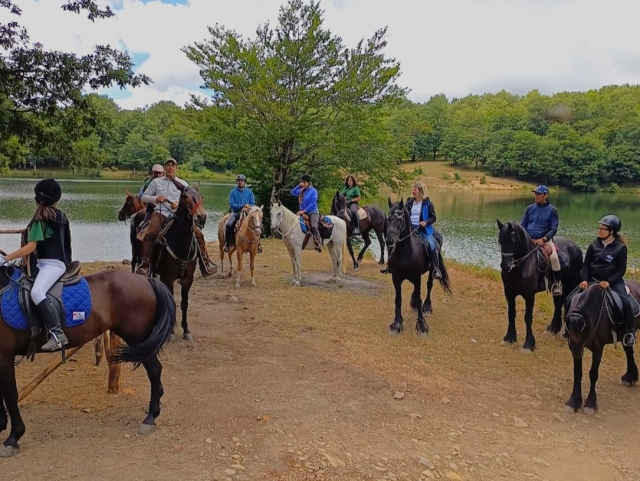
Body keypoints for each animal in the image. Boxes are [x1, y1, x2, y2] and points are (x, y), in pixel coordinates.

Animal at [0, 264, 176, 457]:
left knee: (154, 370)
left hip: (137, 337)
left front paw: (13, 438)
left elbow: (10, 395)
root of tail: (146, 279)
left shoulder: (4, 355)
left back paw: (150, 418)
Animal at [385, 199, 452, 335]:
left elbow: (419, 297)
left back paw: (427, 307)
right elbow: (398, 300)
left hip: (431, 271)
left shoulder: (416, 278)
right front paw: (396, 324)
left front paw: (422, 325)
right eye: (388, 218)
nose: (389, 240)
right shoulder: (396, 279)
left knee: (429, 286)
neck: (405, 252)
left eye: (399, 219)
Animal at [496, 220, 583, 352]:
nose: (505, 266)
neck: (522, 266)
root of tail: (575, 246)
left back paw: (566, 334)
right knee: (558, 304)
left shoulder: (529, 295)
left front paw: (528, 344)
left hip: (571, 285)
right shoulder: (509, 293)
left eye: (512, 241)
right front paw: (509, 338)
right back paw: (553, 329)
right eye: (500, 241)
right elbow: (511, 314)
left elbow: (528, 317)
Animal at [564, 281, 640, 413]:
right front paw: (574, 402)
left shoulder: (598, 348)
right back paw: (629, 378)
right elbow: (577, 372)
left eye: (582, 329)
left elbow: (593, 374)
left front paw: (590, 404)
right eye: (569, 328)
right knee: (628, 351)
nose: (577, 352)